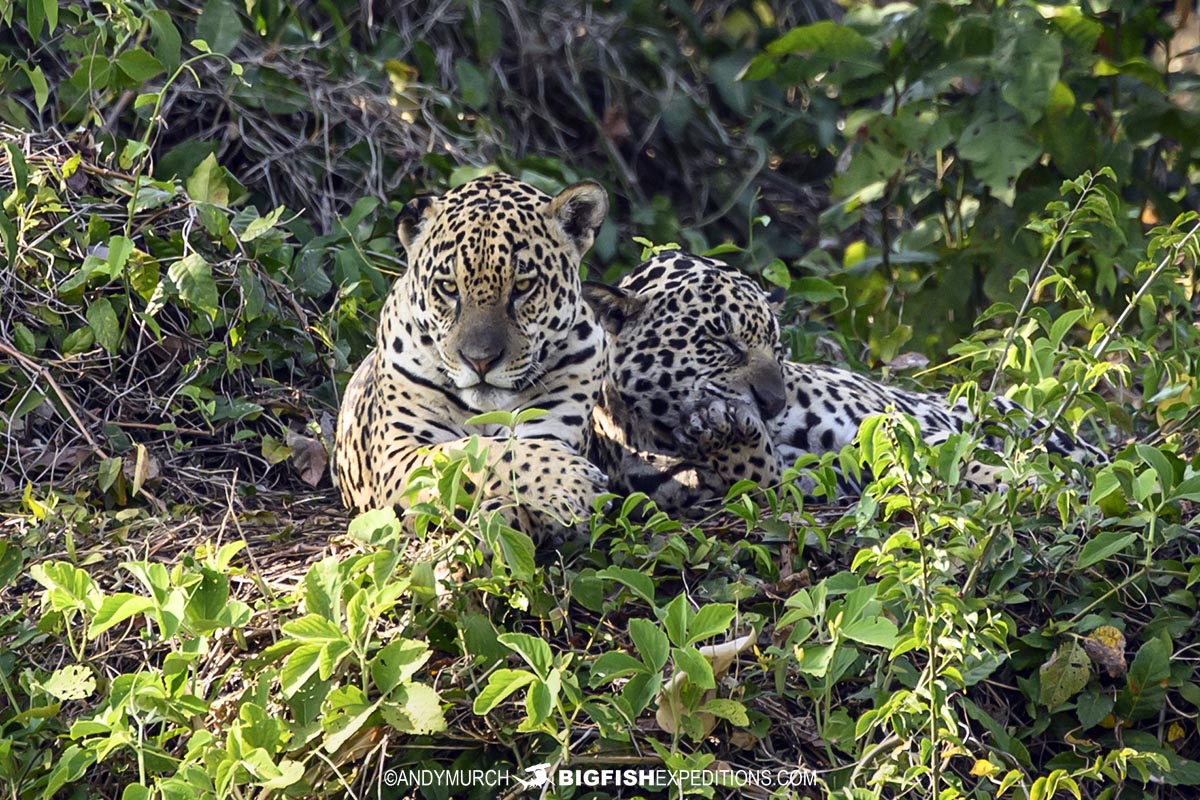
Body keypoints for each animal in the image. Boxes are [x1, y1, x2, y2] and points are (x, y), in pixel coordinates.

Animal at [333, 173, 628, 539]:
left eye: (522, 287)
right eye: (448, 287)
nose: (480, 361)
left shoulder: (551, 427)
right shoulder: (399, 454)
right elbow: (476, 452)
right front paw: (573, 481)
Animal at [586, 250, 1108, 515]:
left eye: (777, 348)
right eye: (723, 341)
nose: (772, 403)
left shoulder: (889, 430)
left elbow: (955, 460)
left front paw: (1029, 483)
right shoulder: (813, 478)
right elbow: (759, 477)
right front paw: (730, 437)